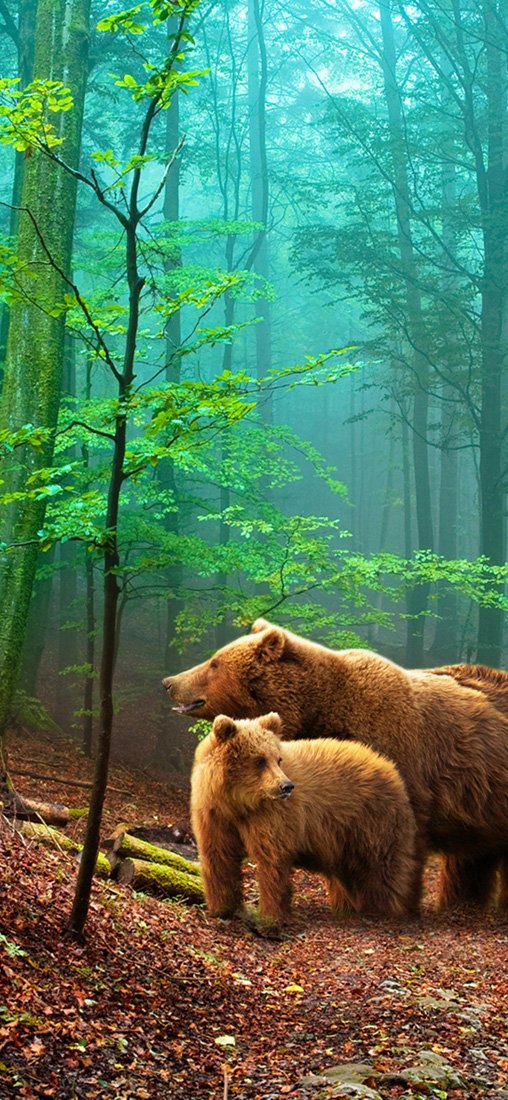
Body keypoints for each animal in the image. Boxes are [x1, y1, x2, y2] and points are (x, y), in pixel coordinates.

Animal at [190, 712, 418, 924]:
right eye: (260, 760)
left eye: (278, 759)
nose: (286, 786)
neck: (238, 802)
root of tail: (388, 765)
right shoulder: (213, 814)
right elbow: (218, 855)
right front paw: (222, 908)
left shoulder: (272, 816)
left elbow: (271, 860)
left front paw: (269, 915)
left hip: (373, 822)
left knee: (385, 869)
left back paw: (389, 910)